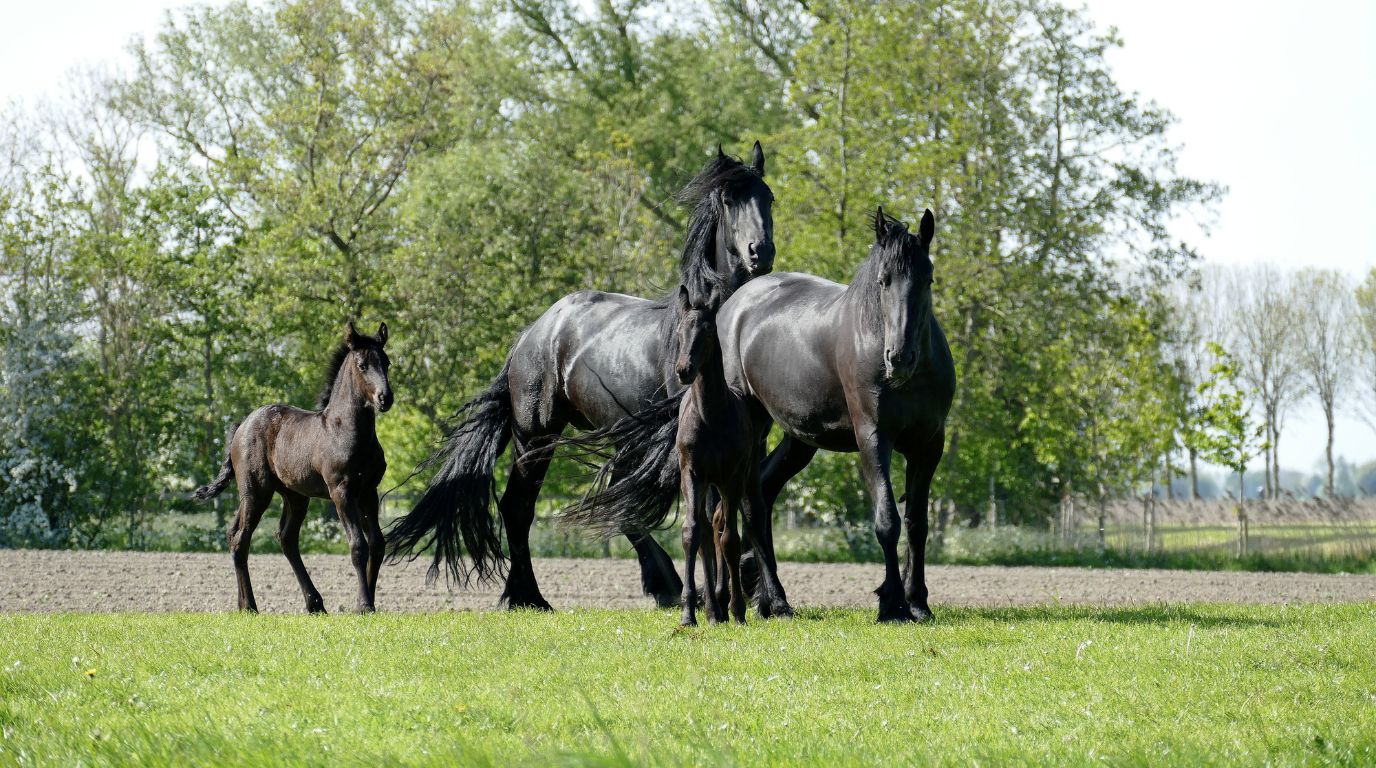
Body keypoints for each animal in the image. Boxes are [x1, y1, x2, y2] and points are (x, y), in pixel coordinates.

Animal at [193, 322, 394, 614]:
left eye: (387, 363)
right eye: (362, 365)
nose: (385, 398)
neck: (346, 429)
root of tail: (242, 426)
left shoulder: (368, 491)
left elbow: (377, 544)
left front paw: (365, 602)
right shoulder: (341, 492)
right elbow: (358, 545)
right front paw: (365, 604)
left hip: (294, 496)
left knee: (281, 537)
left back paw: (312, 604)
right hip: (256, 491)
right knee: (241, 538)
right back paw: (250, 606)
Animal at [385, 144, 775, 610]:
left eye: (768, 198)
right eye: (729, 200)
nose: (760, 252)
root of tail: (530, 335)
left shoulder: (748, 442)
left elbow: (753, 511)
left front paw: (766, 595)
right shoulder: (694, 445)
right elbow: (710, 512)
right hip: (536, 435)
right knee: (520, 507)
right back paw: (532, 596)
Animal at [565, 208, 953, 622]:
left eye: (927, 279)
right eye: (883, 281)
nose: (899, 358)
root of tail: (735, 304)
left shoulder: (929, 445)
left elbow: (917, 523)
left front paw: (918, 602)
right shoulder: (873, 438)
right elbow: (887, 520)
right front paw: (892, 604)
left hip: (796, 441)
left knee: (757, 502)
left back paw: (759, 599)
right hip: (753, 434)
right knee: (739, 510)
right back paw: (748, 600)